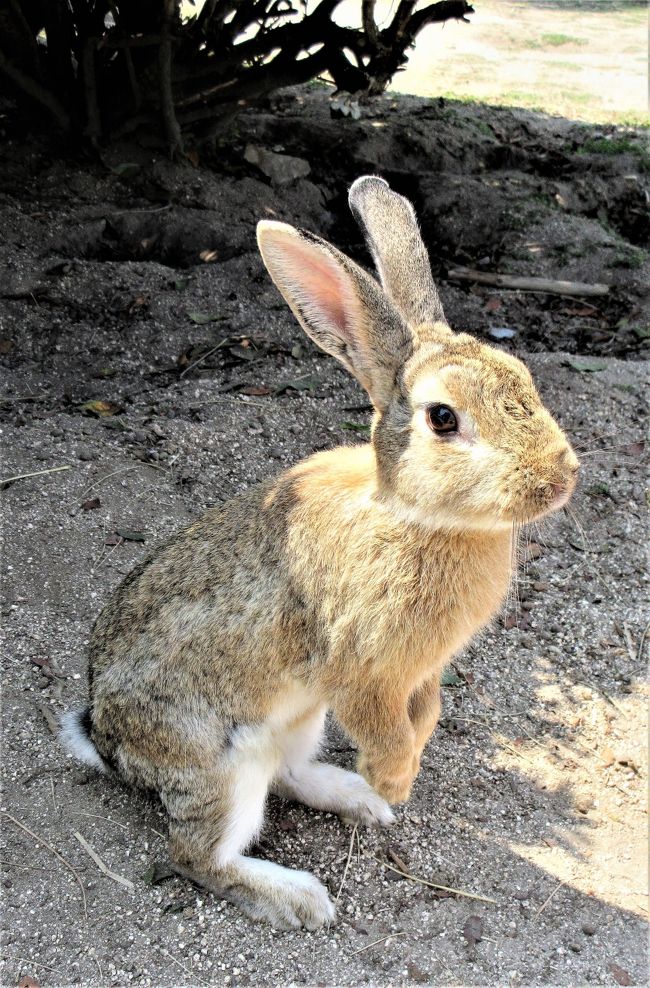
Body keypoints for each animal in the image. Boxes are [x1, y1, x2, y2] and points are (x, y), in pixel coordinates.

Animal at [59, 176, 576, 928]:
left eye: (523, 377)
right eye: (442, 417)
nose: (560, 478)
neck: (416, 516)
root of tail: (106, 740)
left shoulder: (419, 673)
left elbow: (426, 715)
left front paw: (395, 781)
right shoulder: (361, 672)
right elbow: (385, 728)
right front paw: (395, 778)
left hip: (297, 722)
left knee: (292, 773)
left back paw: (359, 803)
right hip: (222, 763)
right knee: (199, 857)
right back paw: (302, 896)